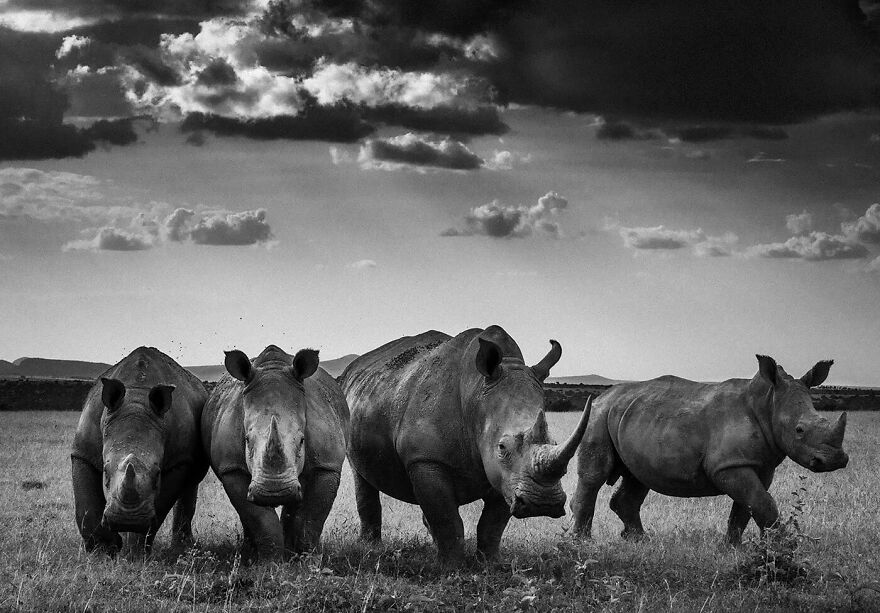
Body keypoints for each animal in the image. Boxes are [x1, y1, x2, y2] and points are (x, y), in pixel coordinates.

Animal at [71, 347, 209, 552]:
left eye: (158, 473)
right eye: (105, 471)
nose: (127, 520)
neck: (137, 400)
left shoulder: (178, 461)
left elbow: (159, 508)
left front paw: (134, 552)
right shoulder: (82, 451)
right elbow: (86, 506)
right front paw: (102, 550)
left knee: (191, 484)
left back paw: (183, 547)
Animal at [201, 345, 349, 559]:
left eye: (302, 440)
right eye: (247, 440)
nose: (275, 492)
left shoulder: (326, 466)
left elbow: (310, 519)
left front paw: (307, 560)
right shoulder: (232, 469)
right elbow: (259, 519)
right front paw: (270, 561)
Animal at [341, 326, 592, 565]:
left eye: (554, 442)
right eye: (502, 447)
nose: (543, 503)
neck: (477, 394)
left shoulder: (504, 475)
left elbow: (492, 524)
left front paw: (490, 564)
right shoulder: (426, 459)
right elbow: (447, 518)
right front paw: (450, 568)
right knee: (361, 476)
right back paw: (371, 547)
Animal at [571, 355, 848, 544]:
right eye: (799, 430)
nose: (836, 460)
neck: (768, 404)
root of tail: (602, 396)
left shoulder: (757, 464)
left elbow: (748, 506)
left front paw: (733, 547)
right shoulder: (727, 465)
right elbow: (761, 502)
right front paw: (780, 549)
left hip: (631, 418)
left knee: (637, 477)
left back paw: (641, 541)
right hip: (597, 416)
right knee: (594, 476)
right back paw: (583, 543)